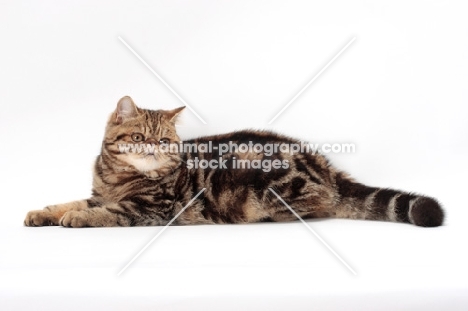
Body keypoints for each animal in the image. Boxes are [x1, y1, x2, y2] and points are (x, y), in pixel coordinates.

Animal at [23, 96, 444, 228]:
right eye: (140, 138)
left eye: (164, 140)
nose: (154, 149)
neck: (117, 178)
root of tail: (322, 163)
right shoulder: (99, 193)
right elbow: (69, 201)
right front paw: (43, 212)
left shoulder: (151, 208)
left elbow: (106, 212)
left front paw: (77, 218)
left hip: (275, 188)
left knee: (321, 206)